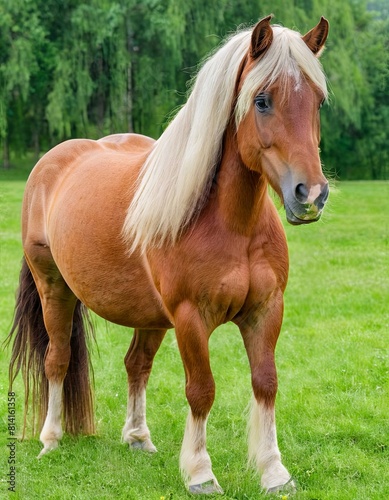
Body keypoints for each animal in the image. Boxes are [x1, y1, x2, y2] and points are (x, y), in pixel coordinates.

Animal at [7, 16, 328, 496]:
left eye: (318, 102)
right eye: (262, 101)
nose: (310, 195)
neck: (232, 225)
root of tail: (51, 163)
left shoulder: (266, 310)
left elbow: (266, 383)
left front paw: (273, 472)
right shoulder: (191, 318)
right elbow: (201, 390)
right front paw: (200, 473)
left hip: (149, 314)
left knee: (136, 364)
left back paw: (138, 437)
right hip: (54, 290)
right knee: (57, 360)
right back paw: (51, 439)